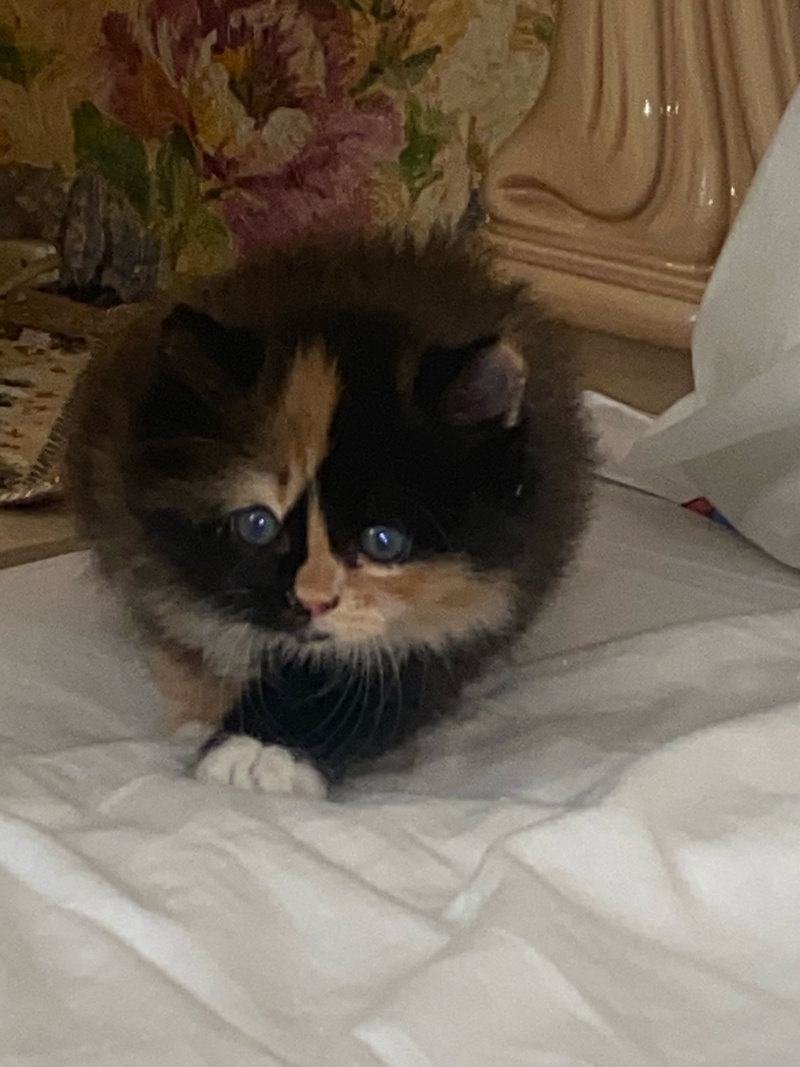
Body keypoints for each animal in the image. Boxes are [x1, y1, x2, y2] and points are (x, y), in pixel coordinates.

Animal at [66, 231, 593, 797]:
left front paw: (262, 750)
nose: (313, 601)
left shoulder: (483, 601)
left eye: (383, 541)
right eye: (257, 525)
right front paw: (207, 712)